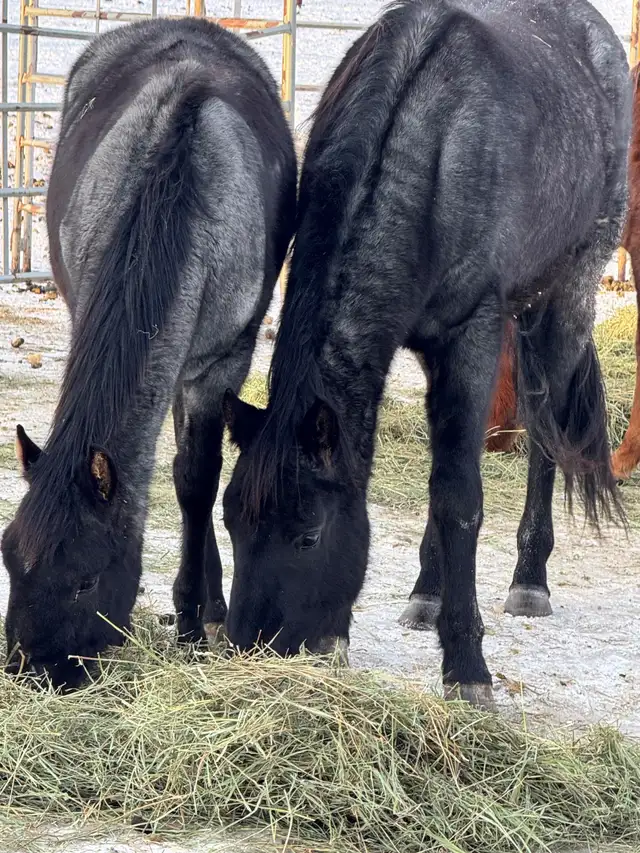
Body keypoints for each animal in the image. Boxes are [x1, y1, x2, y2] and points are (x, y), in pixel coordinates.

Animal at [1, 17, 296, 689]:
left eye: (86, 580)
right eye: (7, 557)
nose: (31, 670)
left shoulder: (221, 365)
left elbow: (195, 480)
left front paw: (191, 619)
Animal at [222, 0, 630, 709]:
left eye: (308, 535)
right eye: (232, 526)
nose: (252, 649)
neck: (432, 149)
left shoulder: (472, 336)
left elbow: (459, 499)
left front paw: (467, 668)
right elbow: (433, 483)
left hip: (564, 301)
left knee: (545, 437)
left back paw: (530, 578)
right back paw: (428, 594)